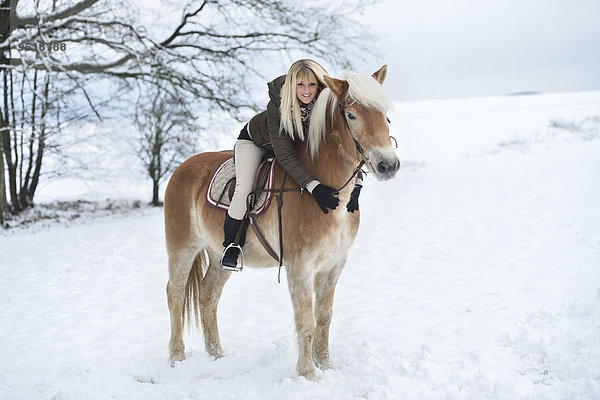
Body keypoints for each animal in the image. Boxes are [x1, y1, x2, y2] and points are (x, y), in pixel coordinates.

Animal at [163, 64, 398, 380]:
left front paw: (326, 365)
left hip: (219, 254)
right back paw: (177, 357)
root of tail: (182, 169)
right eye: (351, 115)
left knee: (208, 295)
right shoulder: (299, 268)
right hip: (182, 249)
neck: (321, 191)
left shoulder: (334, 265)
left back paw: (216, 356)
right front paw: (308, 374)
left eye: (385, 114)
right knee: (175, 295)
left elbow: (324, 317)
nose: (389, 165)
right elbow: (306, 320)